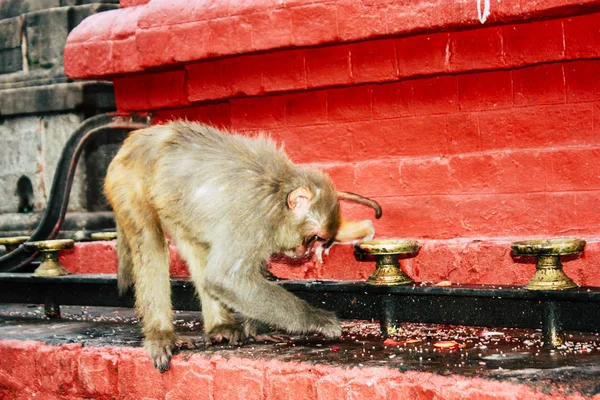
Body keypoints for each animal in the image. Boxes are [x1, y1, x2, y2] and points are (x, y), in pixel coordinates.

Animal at [103, 121, 382, 372]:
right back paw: (161, 334)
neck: (278, 194)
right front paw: (316, 319)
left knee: (196, 245)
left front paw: (257, 330)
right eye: (313, 238)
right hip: (126, 182)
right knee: (150, 242)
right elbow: (226, 279)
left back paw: (220, 327)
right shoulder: (253, 216)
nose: (304, 252)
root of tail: (138, 138)